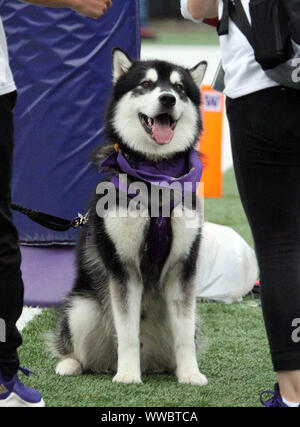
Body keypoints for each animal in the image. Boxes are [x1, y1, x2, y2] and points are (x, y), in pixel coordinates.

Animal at [49, 48, 209, 386]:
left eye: (179, 88)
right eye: (146, 84)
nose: (167, 99)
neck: (156, 177)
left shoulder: (183, 267)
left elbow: (184, 334)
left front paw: (191, 374)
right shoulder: (122, 268)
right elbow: (126, 332)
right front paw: (127, 375)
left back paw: (172, 368)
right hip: (82, 308)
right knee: (79, 347)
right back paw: (72, 364)